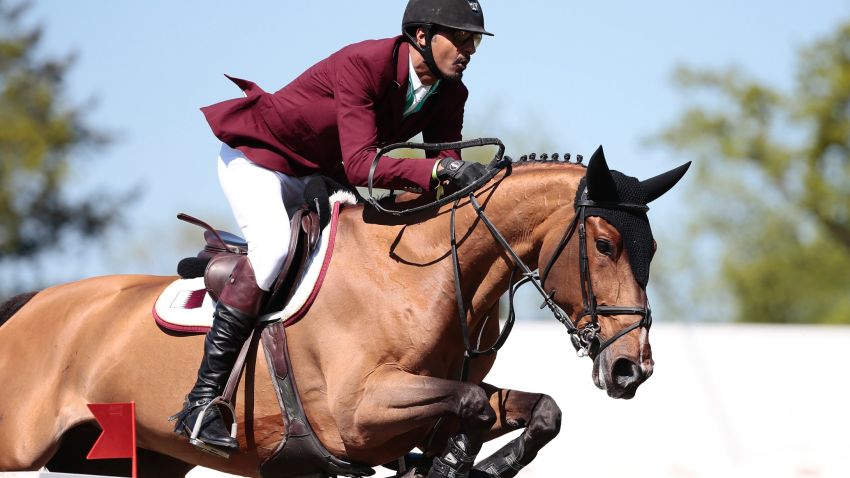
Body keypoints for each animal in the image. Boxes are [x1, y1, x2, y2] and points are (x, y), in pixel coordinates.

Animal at [0, 147, 688, 478]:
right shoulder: (357, 413)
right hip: (20, 445)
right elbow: (467, 406)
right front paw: (451, 462)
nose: (632, 369)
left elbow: (541, 409)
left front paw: (470, 462)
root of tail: (30, 305)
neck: (423, 276)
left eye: (653, 250)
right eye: (605, 244)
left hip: (147, 460)